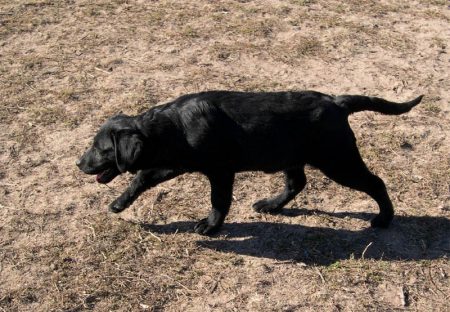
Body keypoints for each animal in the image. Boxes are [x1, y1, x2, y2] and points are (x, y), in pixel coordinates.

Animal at [75, 90, 424, 234]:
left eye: (99, 149)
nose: (79, 163)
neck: (173, 126)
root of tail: (338, 102)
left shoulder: (220, 172)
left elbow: (219, 201)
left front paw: (210, 226)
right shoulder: (173, 161)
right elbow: (140, 178)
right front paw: (119, 203)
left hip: (338, 160)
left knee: (375, 183)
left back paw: (384, 219)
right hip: (294, 156)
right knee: (297, 183)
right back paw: (271, 205)